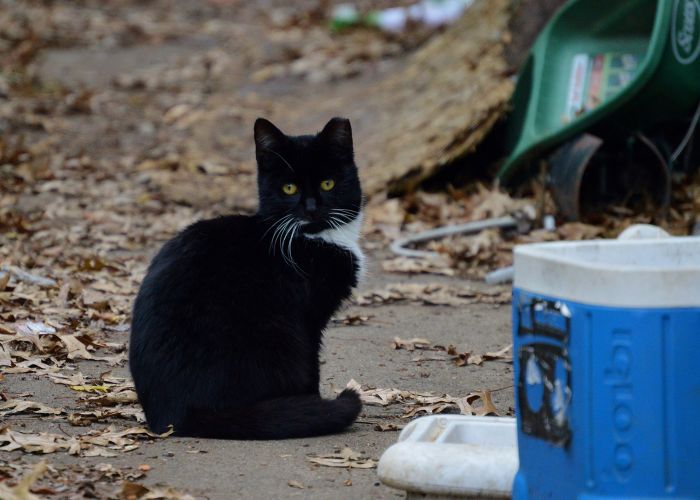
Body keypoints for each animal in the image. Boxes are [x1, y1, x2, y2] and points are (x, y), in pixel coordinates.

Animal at [128, 117, 364, 438]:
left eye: (328, 183)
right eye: (289, 188)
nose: (311, 209)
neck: (315, 240)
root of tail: (174, 416)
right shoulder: (308, 320)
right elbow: (312, 366)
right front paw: (314, 403)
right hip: (279, 336)